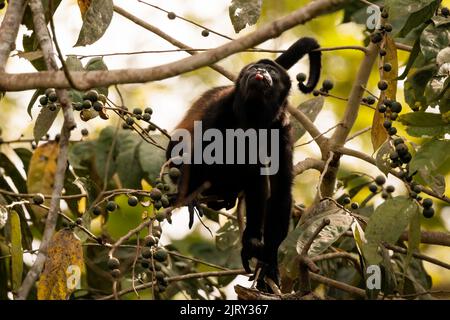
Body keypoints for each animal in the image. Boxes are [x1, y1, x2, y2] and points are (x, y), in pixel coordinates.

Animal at [166, 37, 320, 290]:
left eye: (271, 72)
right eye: (254, 68)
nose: (260, 71)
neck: (253, 116)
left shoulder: (283, 128)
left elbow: (280, 189)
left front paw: (269, 262)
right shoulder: (221, 109)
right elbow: (200, 155)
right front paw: (188, 198)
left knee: (255, 174)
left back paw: (251, 241)